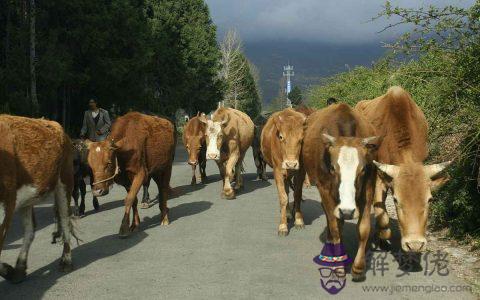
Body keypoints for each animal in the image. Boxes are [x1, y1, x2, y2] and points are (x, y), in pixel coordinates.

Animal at [0, 113, 77, 282]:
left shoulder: (6, 205)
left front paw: (6, 269)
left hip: (65, 181)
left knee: (65, 220)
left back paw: (66, 261)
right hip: (27, 199)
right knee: (30, 229)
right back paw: (19, 270)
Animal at [262, 108, 308, 237]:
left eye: (301, 139)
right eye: (281, 137)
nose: (291, 164)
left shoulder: (300, 172)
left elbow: (297, 195)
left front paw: (299, 220)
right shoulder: (278, 172)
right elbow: (283, 198)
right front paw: (283, 226)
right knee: (286, 192)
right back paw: (287, 214)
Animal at [302, 103, 380, 282]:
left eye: (363, 169)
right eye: (332, 168)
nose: (347, 211)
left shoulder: (369, 188)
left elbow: (363, 229)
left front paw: (358, 268)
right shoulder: (324, 189)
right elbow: (335, 226)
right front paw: (338, 265)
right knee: (333, 221)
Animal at [354, 86, 452, 253]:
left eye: (430, 200)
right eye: (396, 200)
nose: (415, 244)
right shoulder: (379, 177)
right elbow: (383, 219)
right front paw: (381, 238)